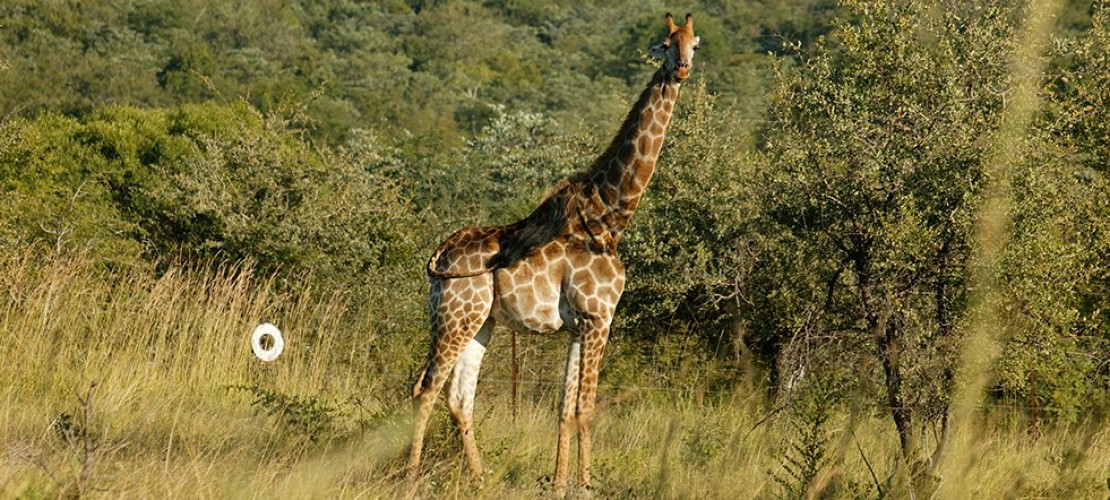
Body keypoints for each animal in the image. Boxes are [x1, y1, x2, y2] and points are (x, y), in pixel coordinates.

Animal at [408, 12, 700, 496]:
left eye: (694, 44)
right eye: (665, 43)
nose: (681, 70)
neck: (611, 218)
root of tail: (437, 257)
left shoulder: (580, 325)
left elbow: (565, 407)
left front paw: (561, 483)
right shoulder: (600, 318)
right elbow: (587, 408)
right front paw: (586, 485)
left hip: (481, 323)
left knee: (459, 397)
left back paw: (481, 478)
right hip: (454, 316)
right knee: (426, 389)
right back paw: (412, 477)